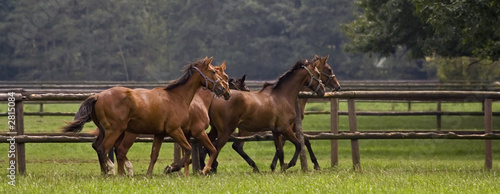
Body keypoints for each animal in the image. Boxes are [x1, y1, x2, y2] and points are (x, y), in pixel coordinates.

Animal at [63, 56, 232, 175]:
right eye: (214, 72)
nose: (225, 91)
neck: (177, 97)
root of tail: (98, 96)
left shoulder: (160, 134)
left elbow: (154, 155)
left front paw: (149, 174)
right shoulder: (176, 130)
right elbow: (190, 150)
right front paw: (172, 168)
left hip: (108, 131)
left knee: (101, 147)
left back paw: (110, 173)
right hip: (116, 131)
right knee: (105, 149)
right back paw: (113, 171)